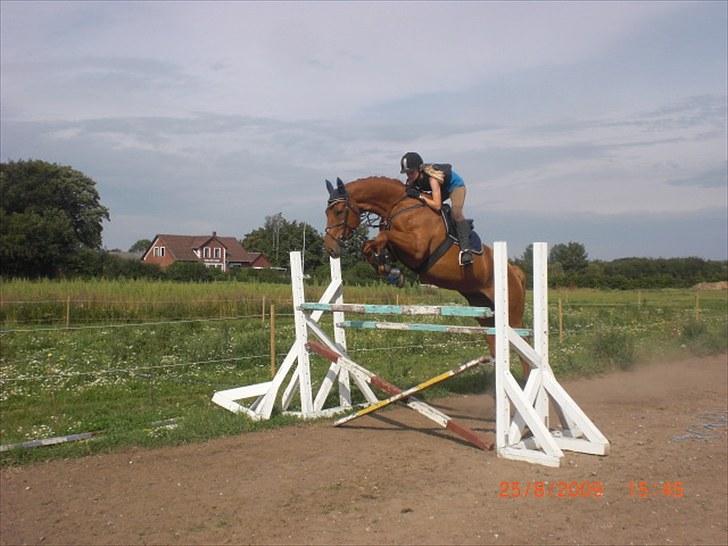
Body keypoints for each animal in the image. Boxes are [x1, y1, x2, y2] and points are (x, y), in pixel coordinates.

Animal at [324, 176, 528, 376]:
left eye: (339, 211)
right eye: (327, 212)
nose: (330, 248)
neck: (398, 206)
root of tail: (514, 271)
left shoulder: (417, 248)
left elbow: (383, 237)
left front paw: (390, 270)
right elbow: (370, 245)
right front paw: (390, 271)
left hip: (511, 314)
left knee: (524, 349)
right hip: (483, 310)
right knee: (494, 342)